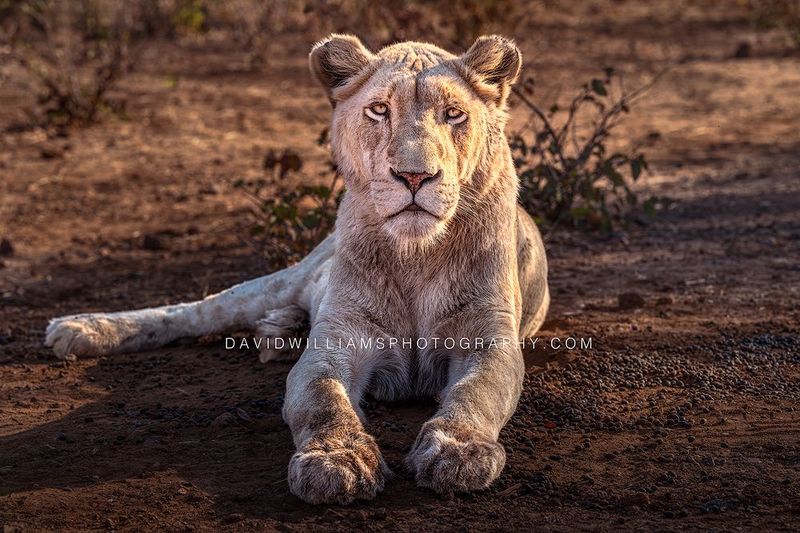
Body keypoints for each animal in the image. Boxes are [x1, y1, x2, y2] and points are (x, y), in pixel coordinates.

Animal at [44, 34, 549, 504]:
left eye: (454, 114)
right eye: (379, 110)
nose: (414, 176)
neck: (416, 255)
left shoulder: (488, 338)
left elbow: (476, 394)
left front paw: (457, 451)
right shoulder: (339, 336)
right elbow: (322, 398)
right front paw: (336, 460)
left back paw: (279, 332)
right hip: (279, 281)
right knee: (196, 311)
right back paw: (80, 328)